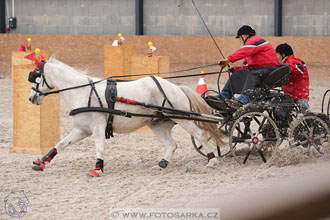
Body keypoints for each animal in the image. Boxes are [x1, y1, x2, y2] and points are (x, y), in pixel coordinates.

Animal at [29, 56, 224, 177]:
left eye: (35, 76)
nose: (31, 98)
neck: (83, 92)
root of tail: (176, 87)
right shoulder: (82, 129)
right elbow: (61, 144)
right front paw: (41, 162)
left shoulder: (97, 126)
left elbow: (100, 147)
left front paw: (97, 168)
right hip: (158, 124)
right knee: (172, 144)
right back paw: (161, 164)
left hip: (182, 117)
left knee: (200, 135)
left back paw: (212, 161)